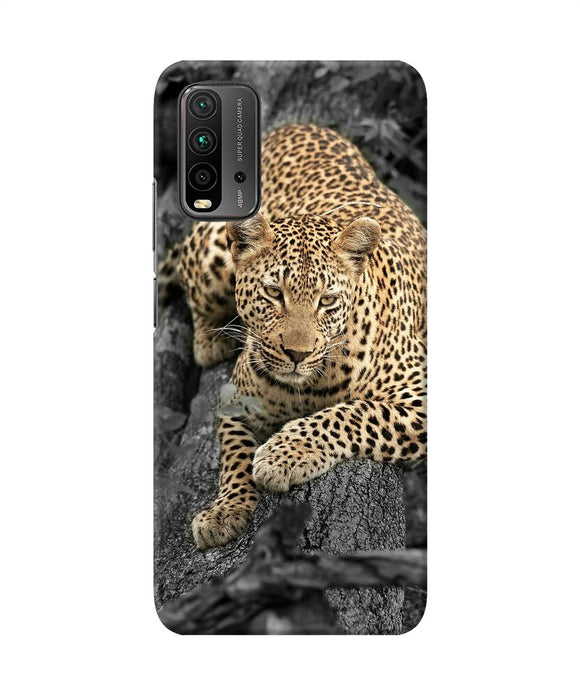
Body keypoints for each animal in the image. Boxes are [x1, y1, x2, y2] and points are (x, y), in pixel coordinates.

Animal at [170, 123, 427, 550]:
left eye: (327, 300)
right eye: (275, 293)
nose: (296, 354)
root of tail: (294, 126)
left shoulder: (419, 395)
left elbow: (352, 413)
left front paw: (283, 454)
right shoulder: (234, 401)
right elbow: (234, 456)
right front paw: (225, 511)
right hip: (212, 254)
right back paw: (211, 340)